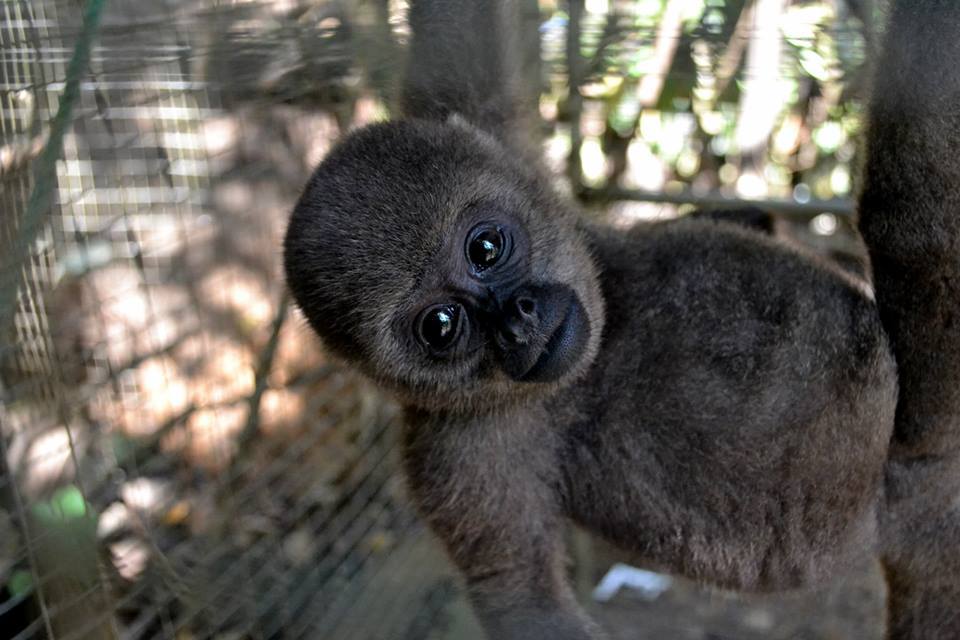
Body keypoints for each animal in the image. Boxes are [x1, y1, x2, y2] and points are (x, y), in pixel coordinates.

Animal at [282, 0, 957, 638]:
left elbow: (459, 44)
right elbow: (519, 595)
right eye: (442, 326)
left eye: (486, 247)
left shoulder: (488, 136)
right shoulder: (457, 455)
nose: (517, 319)